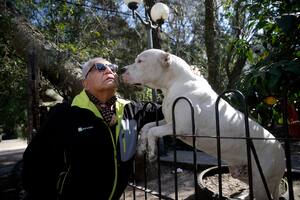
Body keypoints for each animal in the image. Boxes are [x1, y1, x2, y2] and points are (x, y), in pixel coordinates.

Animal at [121, 48, 286, 200]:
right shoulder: (167, 121)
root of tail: (281, 150)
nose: (121, 69)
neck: (174, 82)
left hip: (262, 181)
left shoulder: (180, 127)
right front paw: (142, 146)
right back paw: (243, 195)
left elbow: (153, 131)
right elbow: (146, 127)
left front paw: (151, 152)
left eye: (140, 61)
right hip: (242, 172)